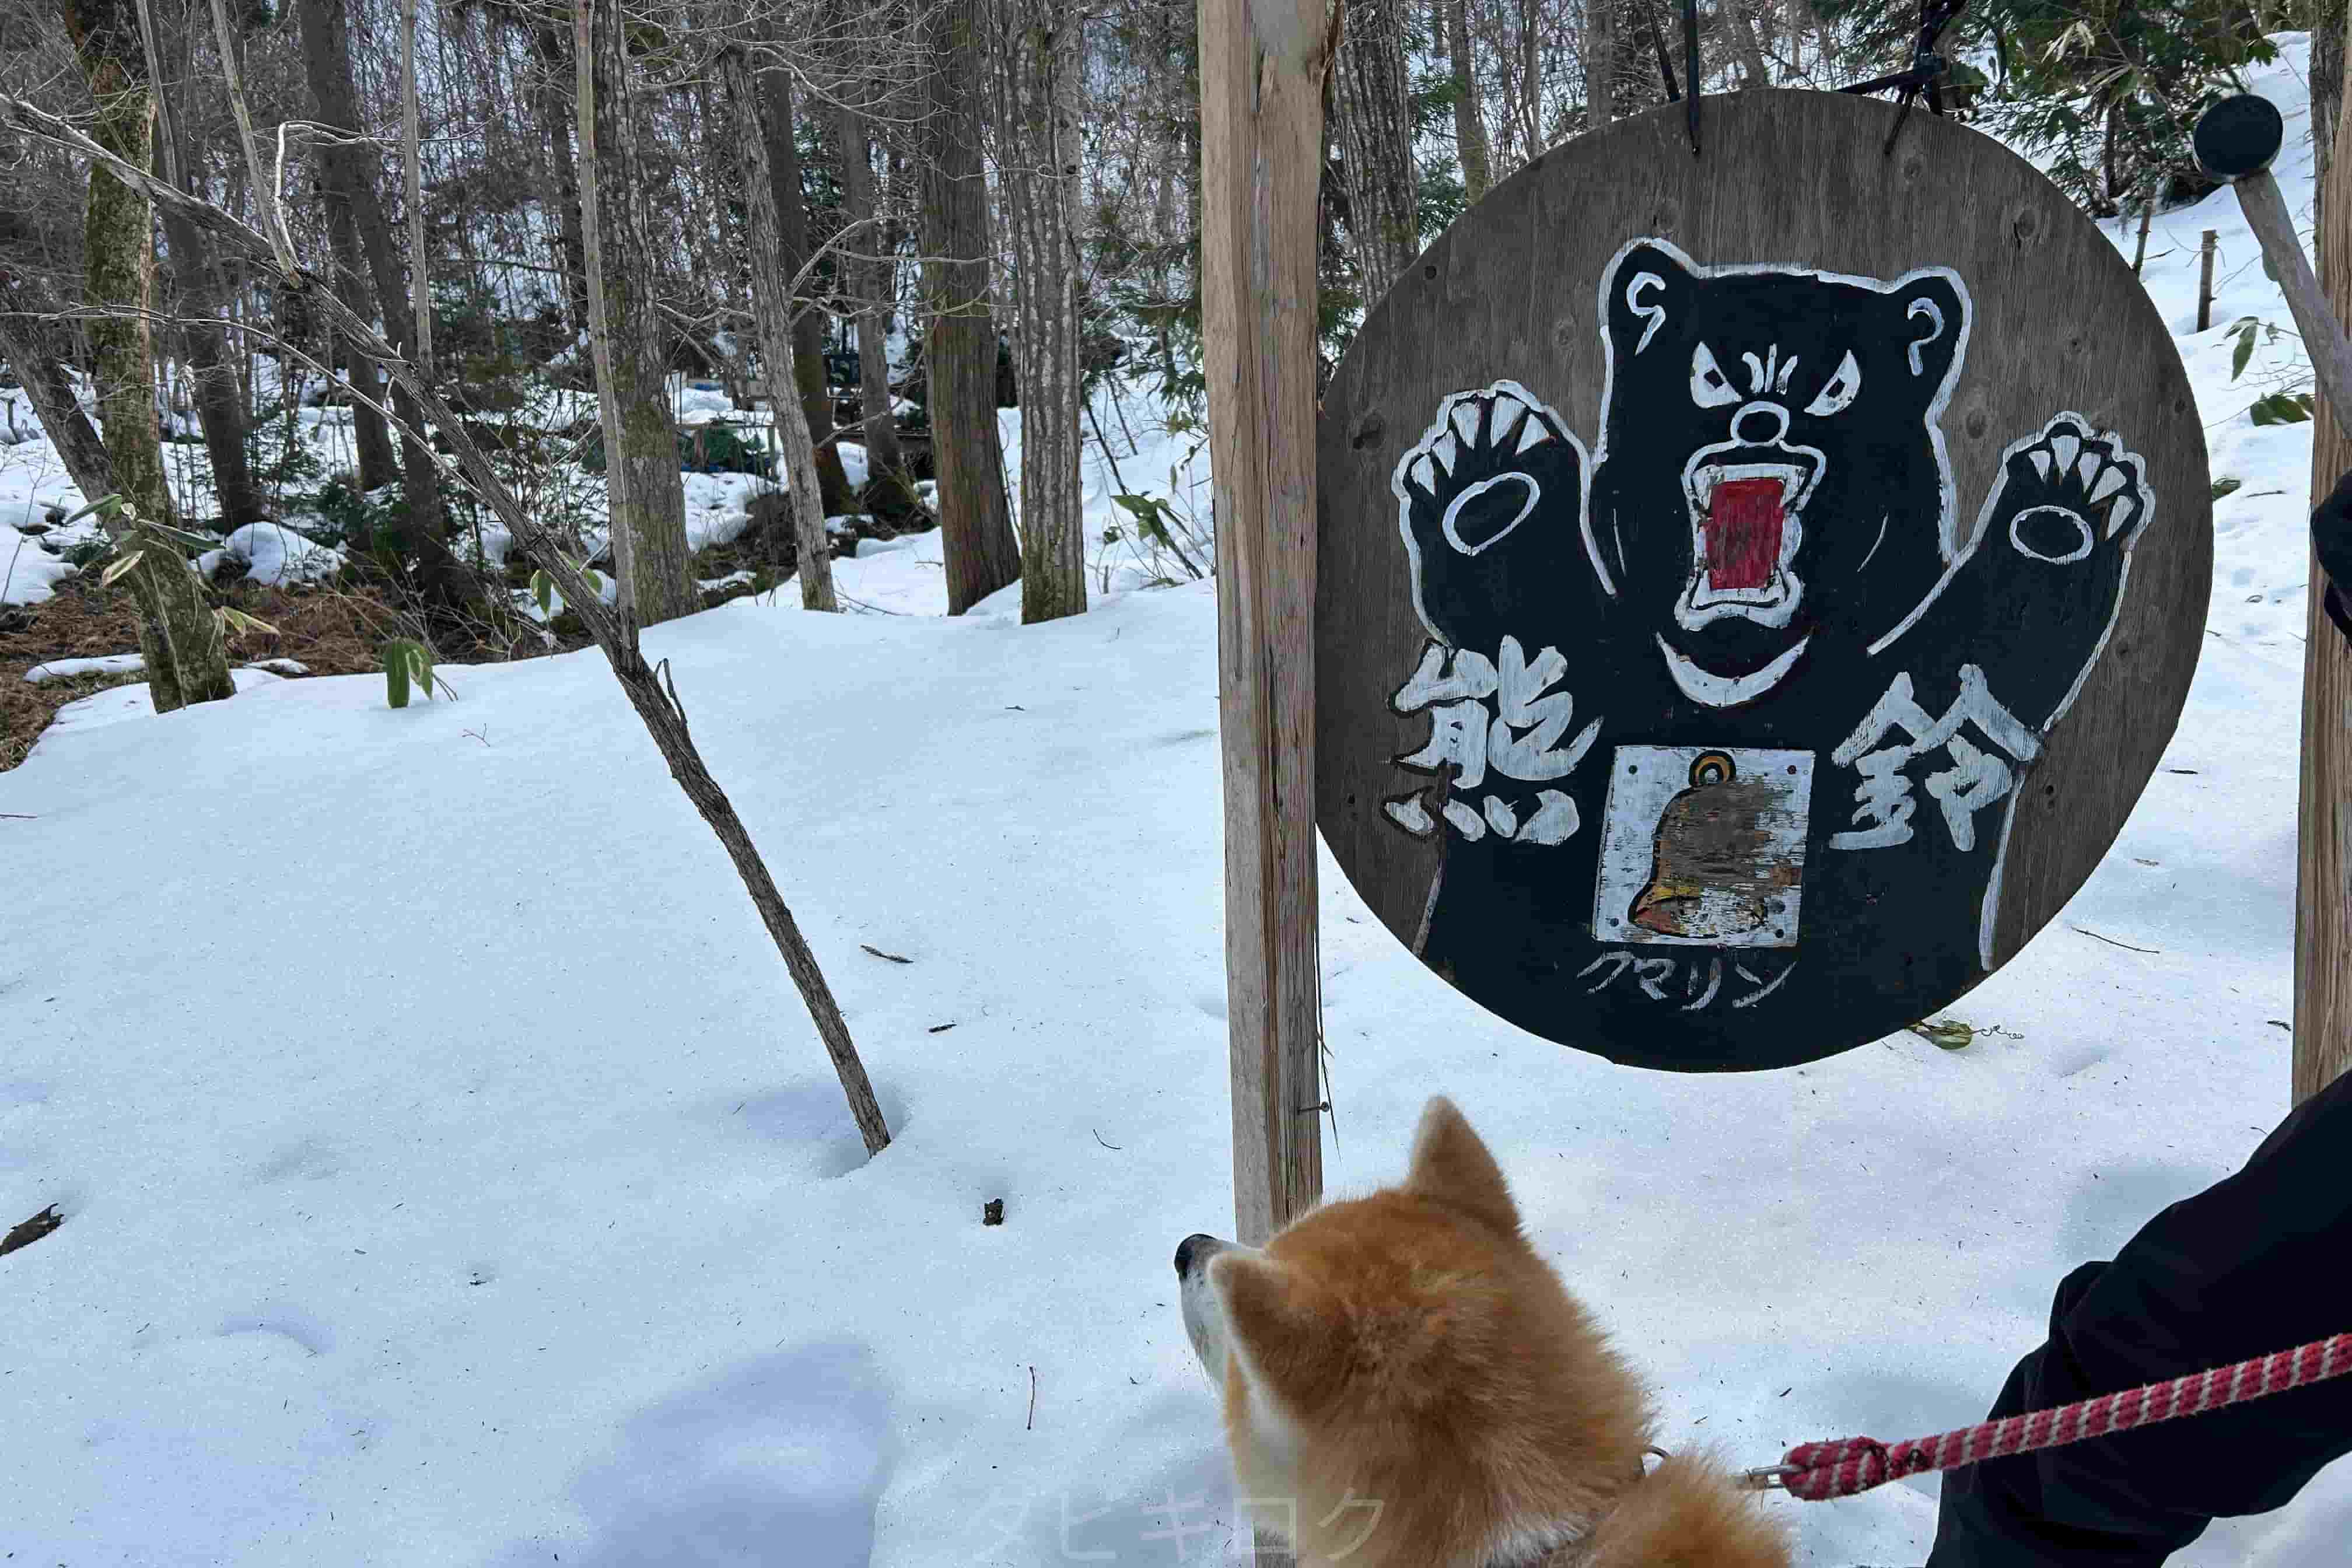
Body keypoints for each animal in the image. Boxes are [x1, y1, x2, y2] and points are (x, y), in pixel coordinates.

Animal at [1381, 237, 2153, 1071]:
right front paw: (1487, 480)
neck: (1734, 677)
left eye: (1838, 390)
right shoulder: (1571, 691)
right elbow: (1525, 691)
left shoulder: (1898, 709)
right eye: (1711, 379)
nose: (1764, 418)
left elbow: (1966, 691)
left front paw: (2061, 507)